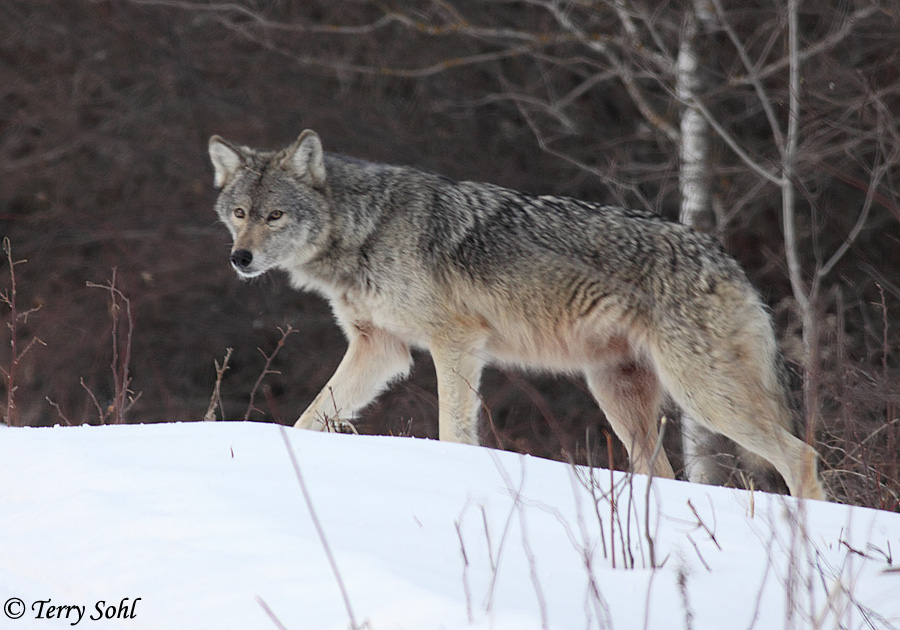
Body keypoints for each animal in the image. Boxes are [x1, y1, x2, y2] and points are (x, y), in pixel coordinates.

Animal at [209, 130, 826, 500]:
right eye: (238, 213)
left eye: (275, 216)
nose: (239, 258)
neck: (366, 229)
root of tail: (728, 260)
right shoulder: (379, 348)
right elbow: (311, 417)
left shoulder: (455, 342)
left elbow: (453, 431)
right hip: (620, 397)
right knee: (665, 473)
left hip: (701, 394)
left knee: (800, 453)